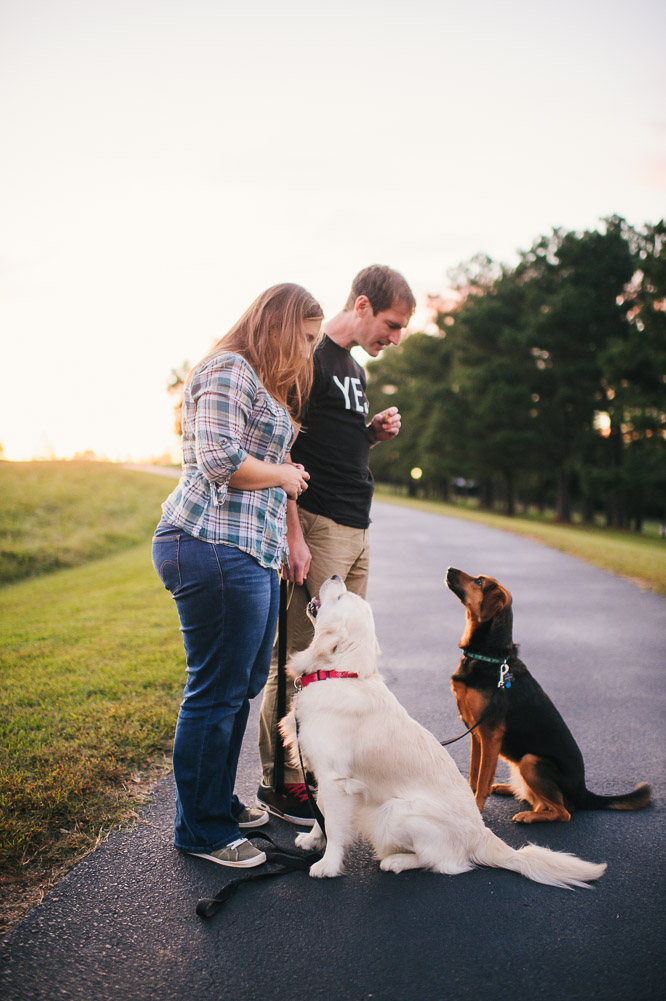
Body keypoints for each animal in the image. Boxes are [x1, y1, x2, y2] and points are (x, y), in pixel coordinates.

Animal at [278, 576, 604, 888]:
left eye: (341, 596)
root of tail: (481, 835)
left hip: (395, 811)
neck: (340, 673)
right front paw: (312, 839)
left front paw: (327, 865)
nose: (334, 575)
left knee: (446, 862)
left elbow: (333, 825)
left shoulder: (336, 779)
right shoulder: (322, 773)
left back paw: (397, 861)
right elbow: (319, 811)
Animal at [440, 568, 648, 824]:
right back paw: (509, 789)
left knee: (562, 812)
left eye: (479, 581)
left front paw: (476, 810)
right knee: (540, 800)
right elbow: (474, 773)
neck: (488, 655)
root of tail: (583, 792)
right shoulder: (476, 733)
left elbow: (483, 779)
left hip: (531, 761)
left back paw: (528, 816)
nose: (449, 568)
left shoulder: (490, 733)